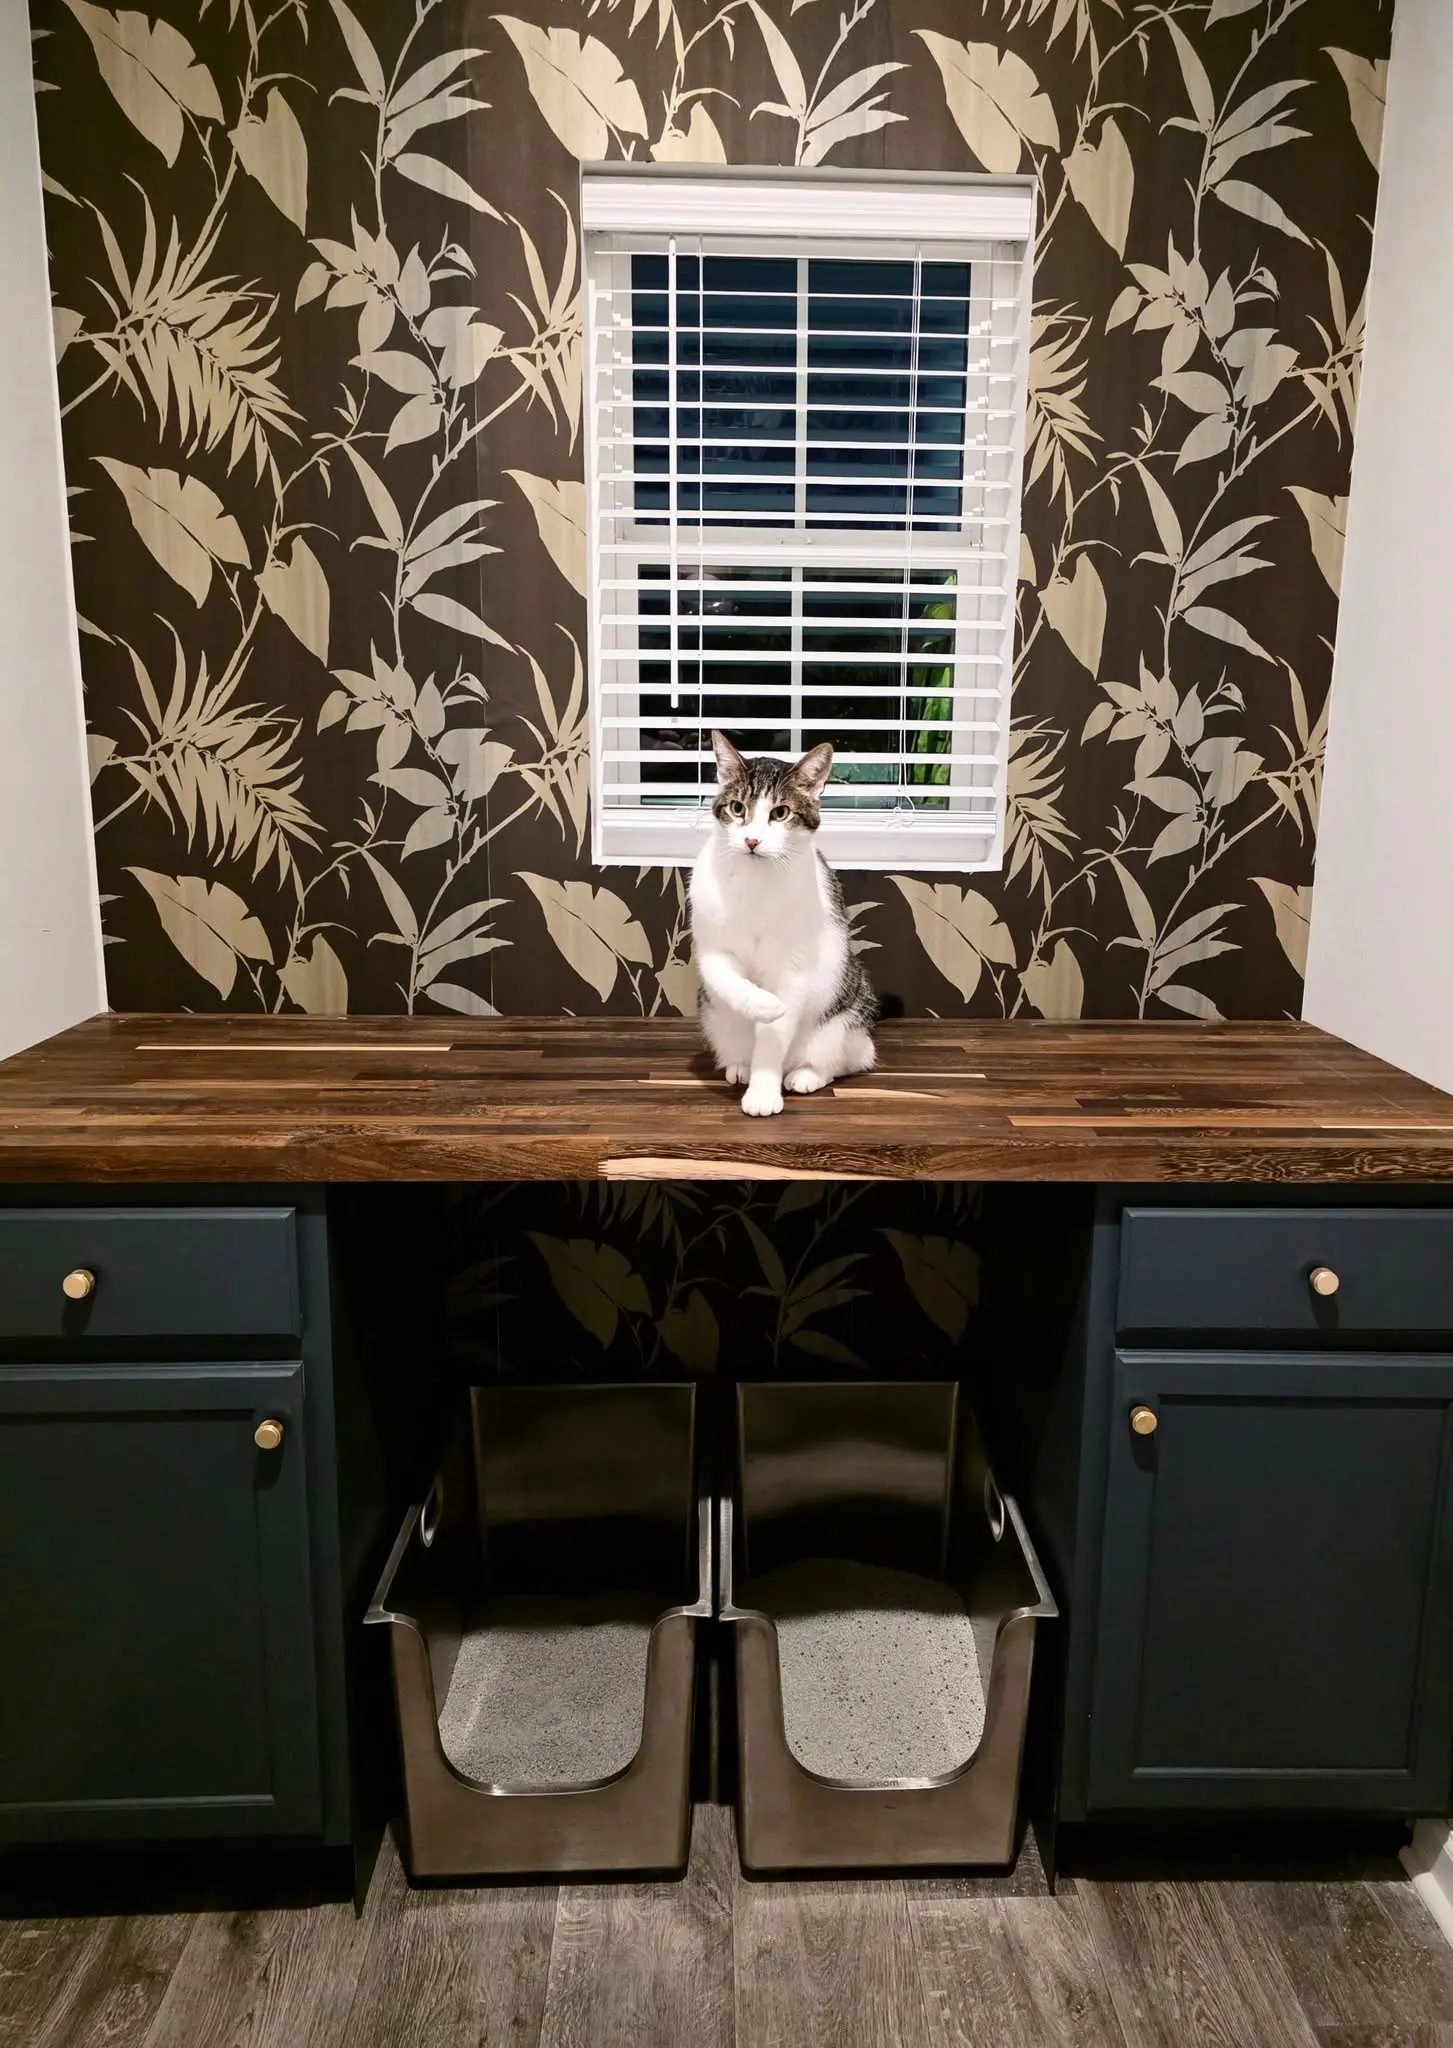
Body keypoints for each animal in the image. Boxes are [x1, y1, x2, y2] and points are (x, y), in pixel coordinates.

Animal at [688, 730, 878, 1117]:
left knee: (850, 1058)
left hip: (845, 1018)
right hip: (714, 1016)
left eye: (780, 813)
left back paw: (805, 1074)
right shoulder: (712, 947)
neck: (754, 883)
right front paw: (763, 1004)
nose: (751, 840)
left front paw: (764, 1092)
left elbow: (774, 1036)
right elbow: (727, 979)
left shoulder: (792, 967)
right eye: (737, 808)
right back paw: (740, 1066)